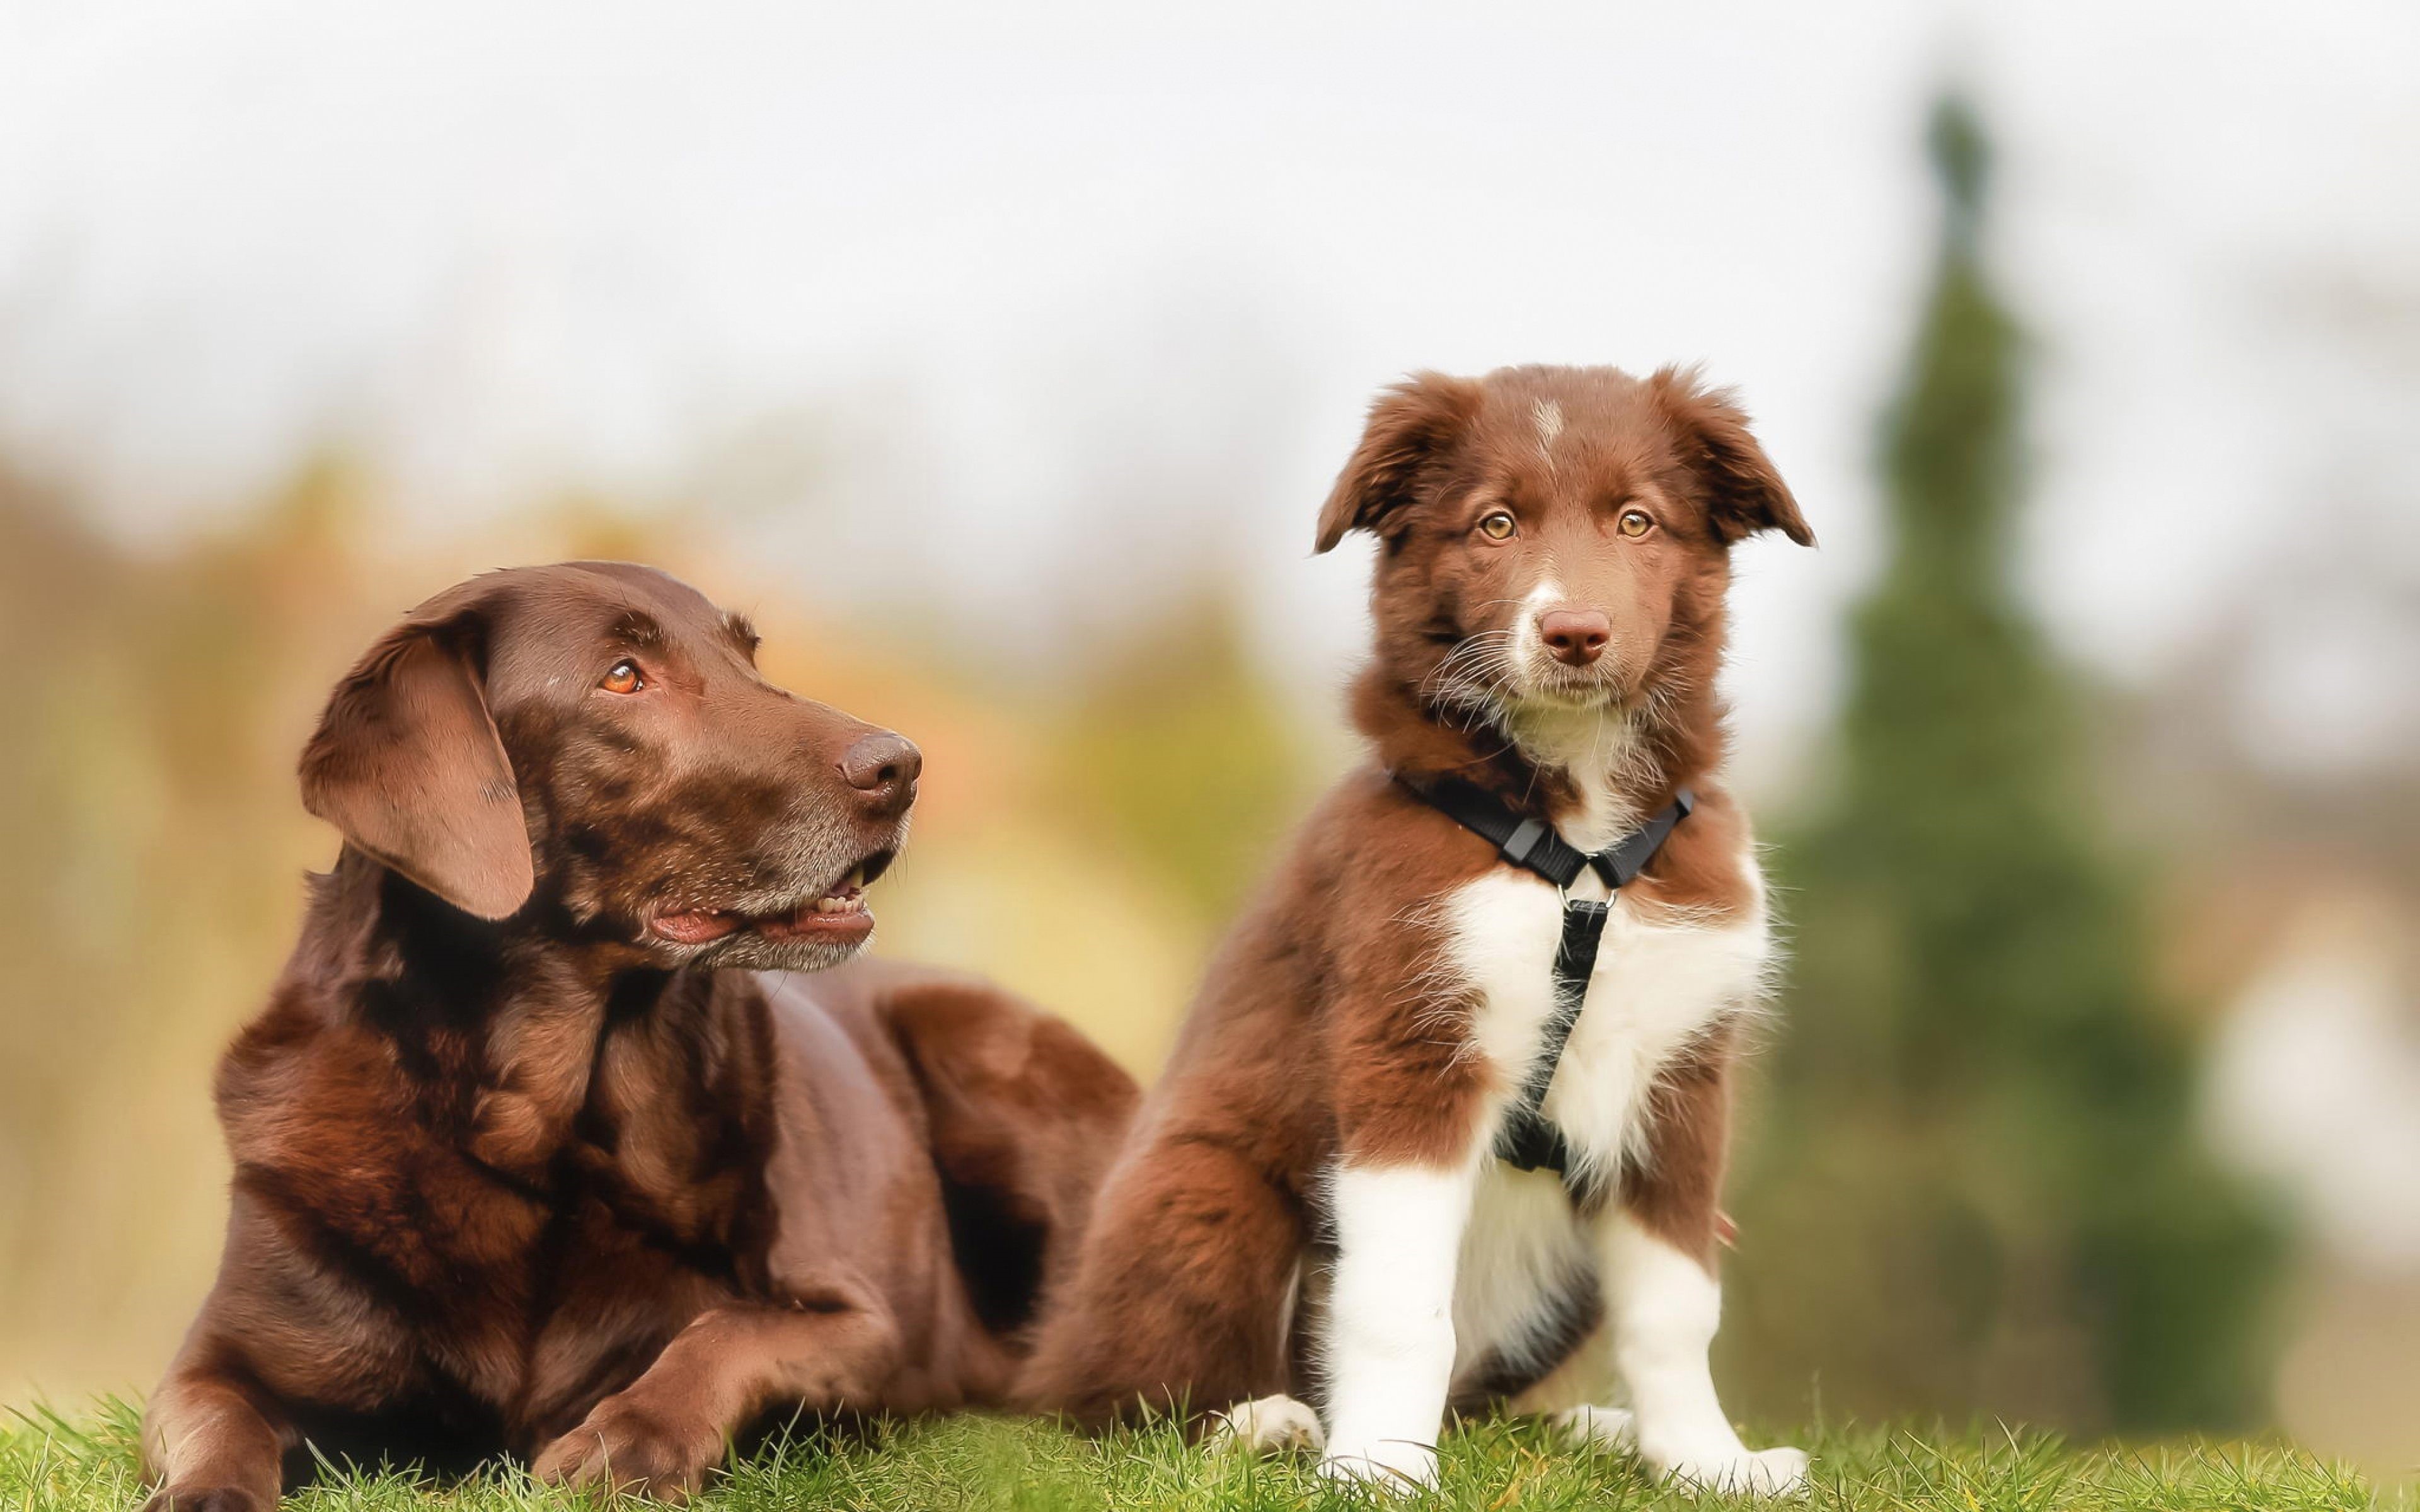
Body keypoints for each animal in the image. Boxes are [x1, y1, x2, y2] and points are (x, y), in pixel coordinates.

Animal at [144, 563, 1142, 1509]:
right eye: (624, 676)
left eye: (749, 654)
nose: (902, 765)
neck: (541, 1138)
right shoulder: (215, 1360)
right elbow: (215, 1423)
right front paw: (202, 1494)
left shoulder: (864, 1323)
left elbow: (729, 1329)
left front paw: (632, 1437)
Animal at [1016, 365, 1819, 1499]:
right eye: (1495, 524)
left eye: (1636, 521)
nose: (1575, 632)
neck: (1577, 837)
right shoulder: (1412, 1046)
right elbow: (1400, 1304)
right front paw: (1380, 1469)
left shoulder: (1680, 1081)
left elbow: (1675, 1302)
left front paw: (1706, 1462)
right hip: (1201, 1192)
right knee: (1107, 1407)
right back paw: (1264, 1424)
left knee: (1488, 1403)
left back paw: (1595, 1431)